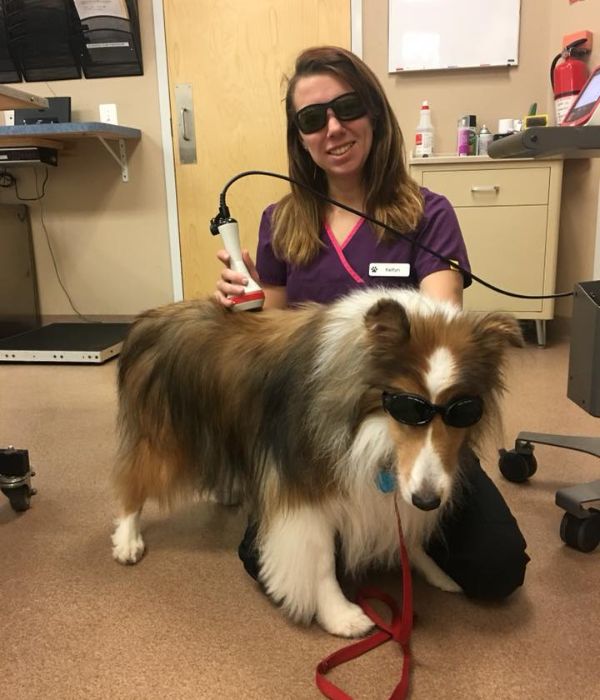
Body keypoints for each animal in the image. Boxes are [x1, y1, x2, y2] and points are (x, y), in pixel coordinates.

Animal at [110, 288, 524, 636]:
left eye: (462, 412)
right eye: (409, 407)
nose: (427, 501)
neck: (369, 419)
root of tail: (150, 318)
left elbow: (406, 532)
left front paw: (434, 571)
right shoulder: (306, 489)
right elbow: (320, 559)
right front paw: (340, 614)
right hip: (162, 442)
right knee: (131, 483)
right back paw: (127, 541)